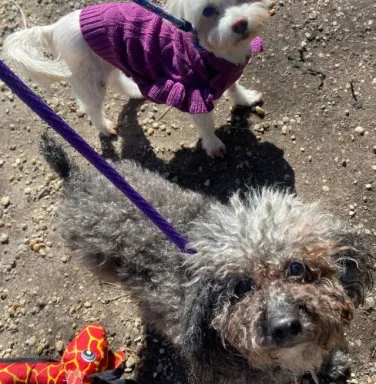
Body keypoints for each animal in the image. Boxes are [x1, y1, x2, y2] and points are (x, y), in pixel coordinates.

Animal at [2, 0, 268, 157]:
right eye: (208, 11)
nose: (240, 23)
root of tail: (54, 27)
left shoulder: (225, 74)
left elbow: (234, 89)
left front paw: (245, 99)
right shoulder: (192, 91)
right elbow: (204, 123)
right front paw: (213, 145)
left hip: (110, 59)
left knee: (116, 81)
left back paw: (134, 91)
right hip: (90, 77)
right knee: (91, 106)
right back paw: (104, 126)